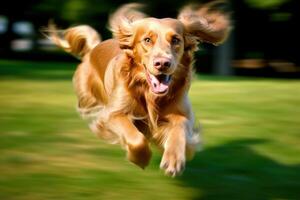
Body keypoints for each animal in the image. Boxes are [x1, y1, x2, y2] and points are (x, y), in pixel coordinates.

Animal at [48, 3, 231, 177]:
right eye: (147, 40)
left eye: (176, 40)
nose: (162, 63)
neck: (150, 94)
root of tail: (93, 48)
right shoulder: (112, 113)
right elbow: (136, 138)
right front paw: (140, 158)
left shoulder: (182, 114)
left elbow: (179, 131)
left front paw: (174, 159)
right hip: (88, 97)